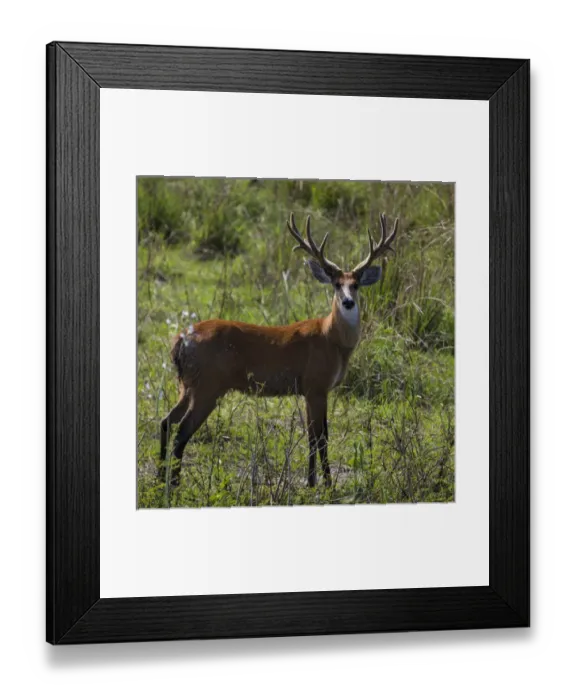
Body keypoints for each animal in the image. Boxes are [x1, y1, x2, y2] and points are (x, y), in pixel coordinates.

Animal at [159, 212, 399, 488]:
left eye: (357, 284)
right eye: (337, 284)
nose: (348, 302)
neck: (332, 339)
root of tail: (181, 339)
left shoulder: (311, 389)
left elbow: (315, 436)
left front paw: (313, 481)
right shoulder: (316, 385)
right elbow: (320, 437)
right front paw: (324, 484)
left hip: (187, 384)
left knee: (166, 422)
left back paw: (159, 479)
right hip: (208, 385)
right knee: (182, 431)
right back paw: (174, 484)